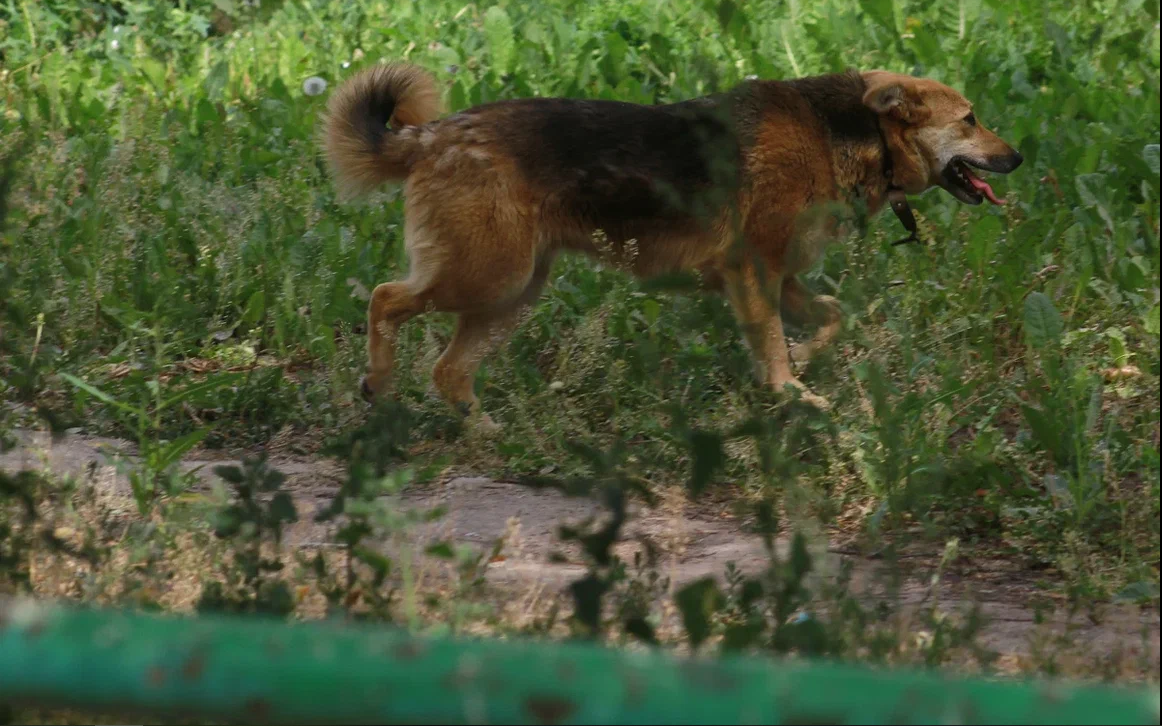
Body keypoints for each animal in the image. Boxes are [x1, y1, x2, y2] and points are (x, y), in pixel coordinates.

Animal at [323, 62, 1022, 425]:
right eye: (969, 119)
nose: (1017, 158)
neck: (847, 132)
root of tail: (432, 136)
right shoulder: (755, 272)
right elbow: (775, 344)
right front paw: (790, 393)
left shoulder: (782, 276)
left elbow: (833, 317)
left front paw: (806, 363)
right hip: (490, 275)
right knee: (384, 299)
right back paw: (378, 383)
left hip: (512, 292)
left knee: (448, 370)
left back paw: (483, 432)